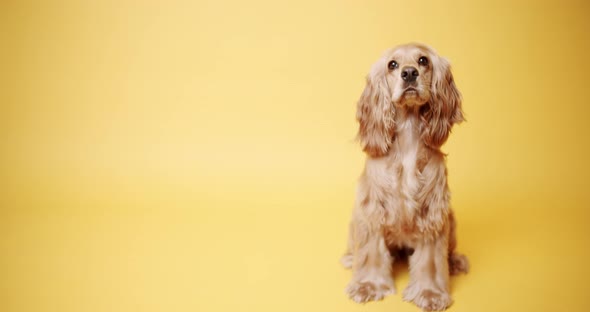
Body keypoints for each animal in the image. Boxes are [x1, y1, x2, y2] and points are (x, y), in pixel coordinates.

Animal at [342, 42, 472, 310]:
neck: (409, 136)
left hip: (451, 219)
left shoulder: (432, 214)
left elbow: (431, 260)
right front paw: (368, 285)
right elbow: (370, 253)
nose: (409, 73)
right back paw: (350, 258)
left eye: (423, 60)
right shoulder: (373, 211)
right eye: (392, 64)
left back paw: (454, 262)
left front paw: (430, 293)